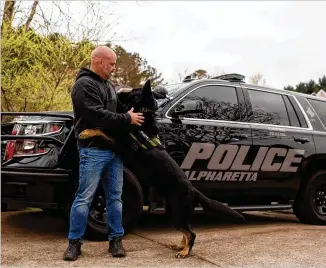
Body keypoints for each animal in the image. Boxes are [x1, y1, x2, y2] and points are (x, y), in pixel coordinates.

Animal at [78, 80, 244, 258]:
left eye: (134, 91)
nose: (119, 90)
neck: (143, 113)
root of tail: (194, 191)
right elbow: (102, 130)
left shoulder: (119, 144)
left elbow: (101, 131)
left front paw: (86, 132)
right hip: (173, 213)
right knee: (187, 230)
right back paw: (180, 246)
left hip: (177, 213)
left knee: (191, 234)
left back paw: (185, 252)